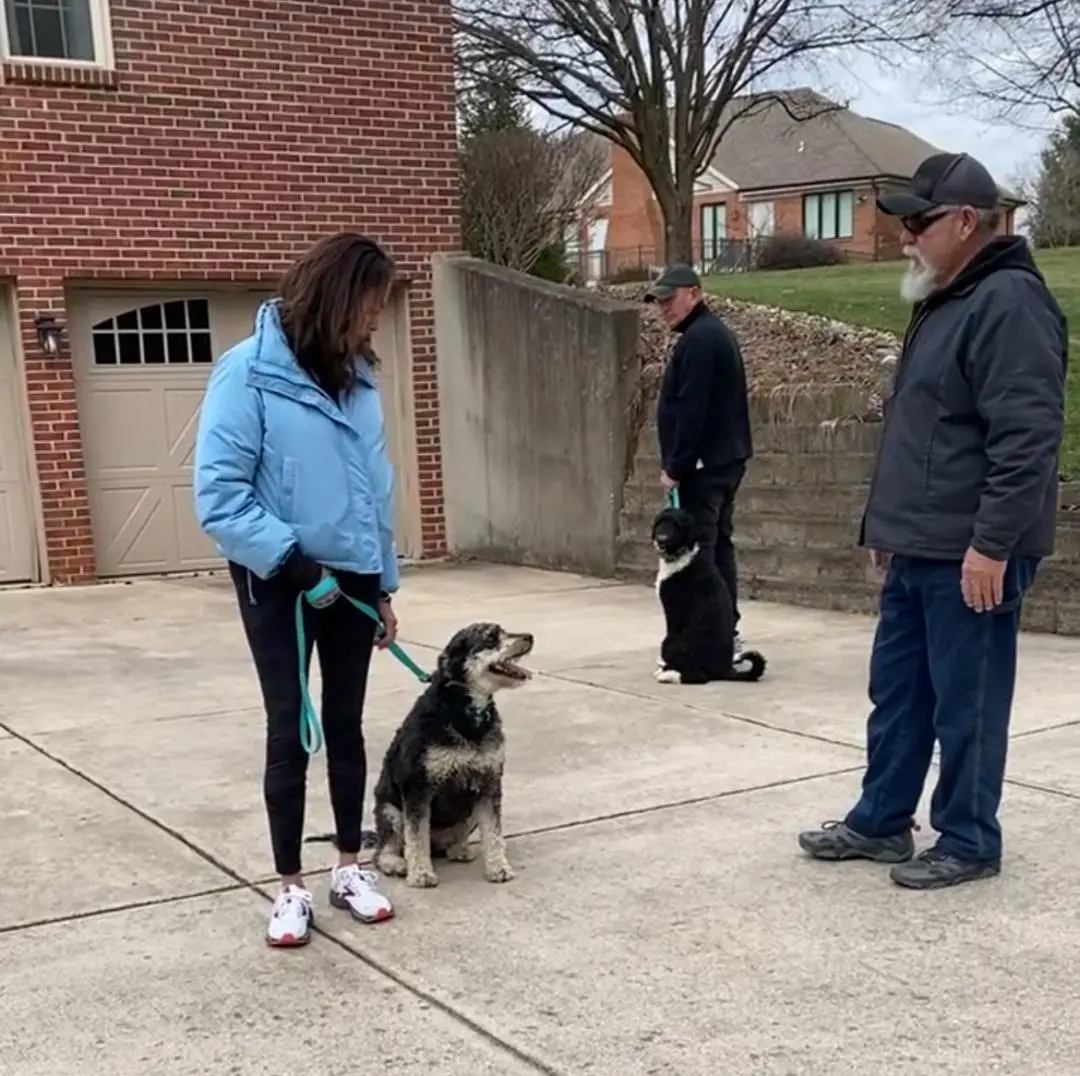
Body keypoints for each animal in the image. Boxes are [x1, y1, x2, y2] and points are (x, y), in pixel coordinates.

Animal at [371, 622, 535, 890]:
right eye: (491, 636)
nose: (530, 637)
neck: (465, 712)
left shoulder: (489, 784)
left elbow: (494, 833)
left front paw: (498, 867)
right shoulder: (418, 788)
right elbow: (416, 836)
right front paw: (421, 874)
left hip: (470, 812)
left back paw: (459, 850)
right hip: (391, 811)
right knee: (388, 847)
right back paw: (394, 863)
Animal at [648, 507, 768, 687]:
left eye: (676, 525)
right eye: (660, 522)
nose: (661, 539)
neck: (682, 554)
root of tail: (726, 670)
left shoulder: (673, 614)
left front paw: (664, 666)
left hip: (671, 642)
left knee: (698, 677)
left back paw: (668, 675)